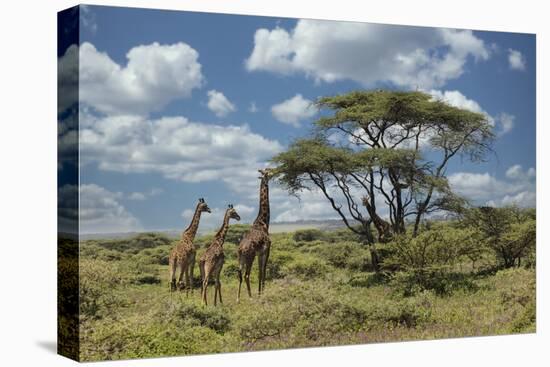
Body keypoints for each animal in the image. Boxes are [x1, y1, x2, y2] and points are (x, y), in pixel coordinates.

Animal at [237, 168, 276, 304]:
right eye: (268, 172)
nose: (276, 171)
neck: (263, 222)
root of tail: (241, 249)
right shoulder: (266, 250)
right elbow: (263, 271)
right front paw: (261, 293)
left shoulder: (260, 253)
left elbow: (260, 271)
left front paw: (260, 293)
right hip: (250, 257)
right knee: (246, 275)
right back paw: (250, 297)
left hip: (241, 259)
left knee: (239, 274)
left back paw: (238, 299)